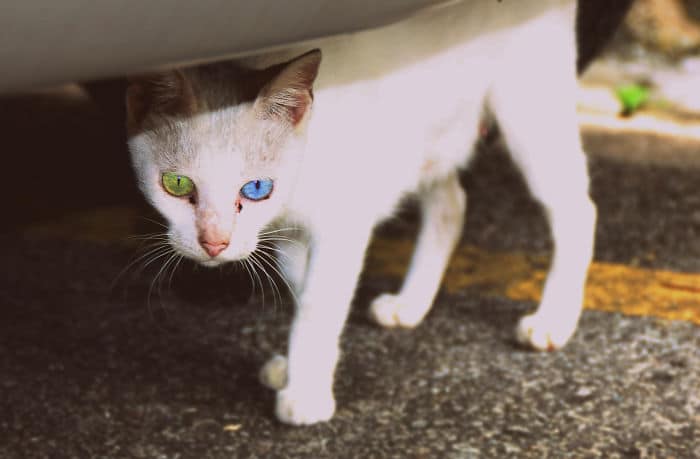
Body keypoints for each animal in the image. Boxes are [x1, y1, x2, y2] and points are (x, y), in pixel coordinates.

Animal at [126, 0, 596, 428]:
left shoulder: (341, 225)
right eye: (177, 185)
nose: (214, 242)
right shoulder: (287, 233)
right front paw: (300, 370)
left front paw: (307, 393)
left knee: (577, 209)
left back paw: (554, 320)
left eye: (255, 189)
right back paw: (411, 303)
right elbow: (302, 290)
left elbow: (319, 305)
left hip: (528, 111)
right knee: (452, 204)